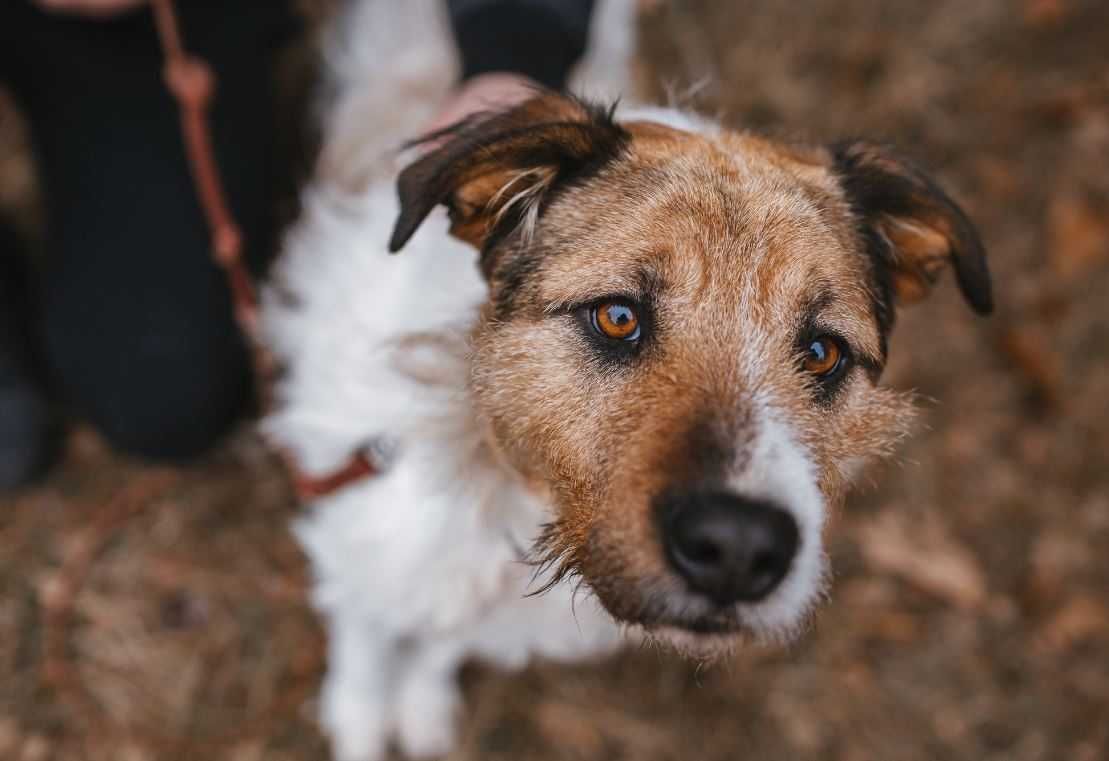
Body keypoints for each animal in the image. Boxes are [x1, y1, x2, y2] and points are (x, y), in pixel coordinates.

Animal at [263, 1, 993, 761]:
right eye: (617, 317)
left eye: (822, 352)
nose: (738, 549)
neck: (513, 487)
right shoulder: (365, 541)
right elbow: (368, 646)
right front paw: (361, 721)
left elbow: (439, 644)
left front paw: (421, 704)